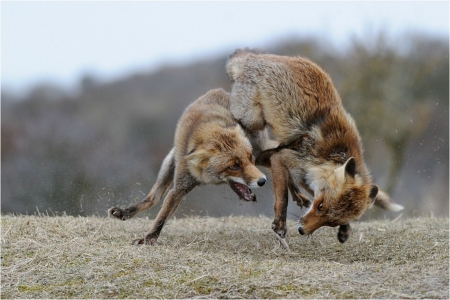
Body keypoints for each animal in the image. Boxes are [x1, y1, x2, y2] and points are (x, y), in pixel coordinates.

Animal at [108, 88, 268, 245]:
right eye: (234, 166)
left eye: (250, 158)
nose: (262, 181)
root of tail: (221, 91)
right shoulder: (179, 188)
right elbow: (162, 217)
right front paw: (150, 237)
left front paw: (150, 238)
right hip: (170, 163)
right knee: (154, 197)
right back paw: (125, 212)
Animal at [225, 49, 404, 245]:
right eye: (320, 206)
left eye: (331, 222)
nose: (302, 230)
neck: (333, 154)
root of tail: (252, 56)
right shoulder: (289, 159)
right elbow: (282, 197)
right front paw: (280, 224)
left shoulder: (307, 174)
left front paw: (345, 229)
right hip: (254, 120)